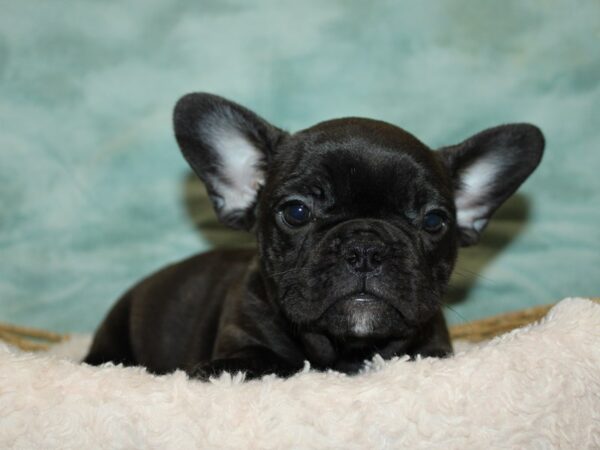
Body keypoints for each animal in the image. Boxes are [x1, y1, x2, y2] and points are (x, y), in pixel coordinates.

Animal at [84, 92, 544, 380]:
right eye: (296, 211)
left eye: (433, 221)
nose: (365, 248)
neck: (346, 350)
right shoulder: (245, 331)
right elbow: (260, 360)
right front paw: (220, 371)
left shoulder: (431, 348)